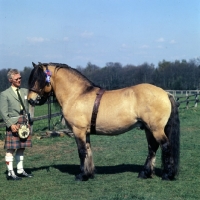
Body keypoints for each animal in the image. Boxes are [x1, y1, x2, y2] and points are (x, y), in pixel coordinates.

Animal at [27, 62, 180, 181]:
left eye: (39, 79)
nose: (30, 100)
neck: (77, 95)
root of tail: (165, 93)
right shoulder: (85, 132)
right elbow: (88, 150)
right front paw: (89, 173)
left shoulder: (78, 131)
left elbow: (81, 151)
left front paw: (82, 176)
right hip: (148, 128)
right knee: (152, 148)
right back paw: (145, 173)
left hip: (156, 129)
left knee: (166, 146)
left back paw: (167, 175)